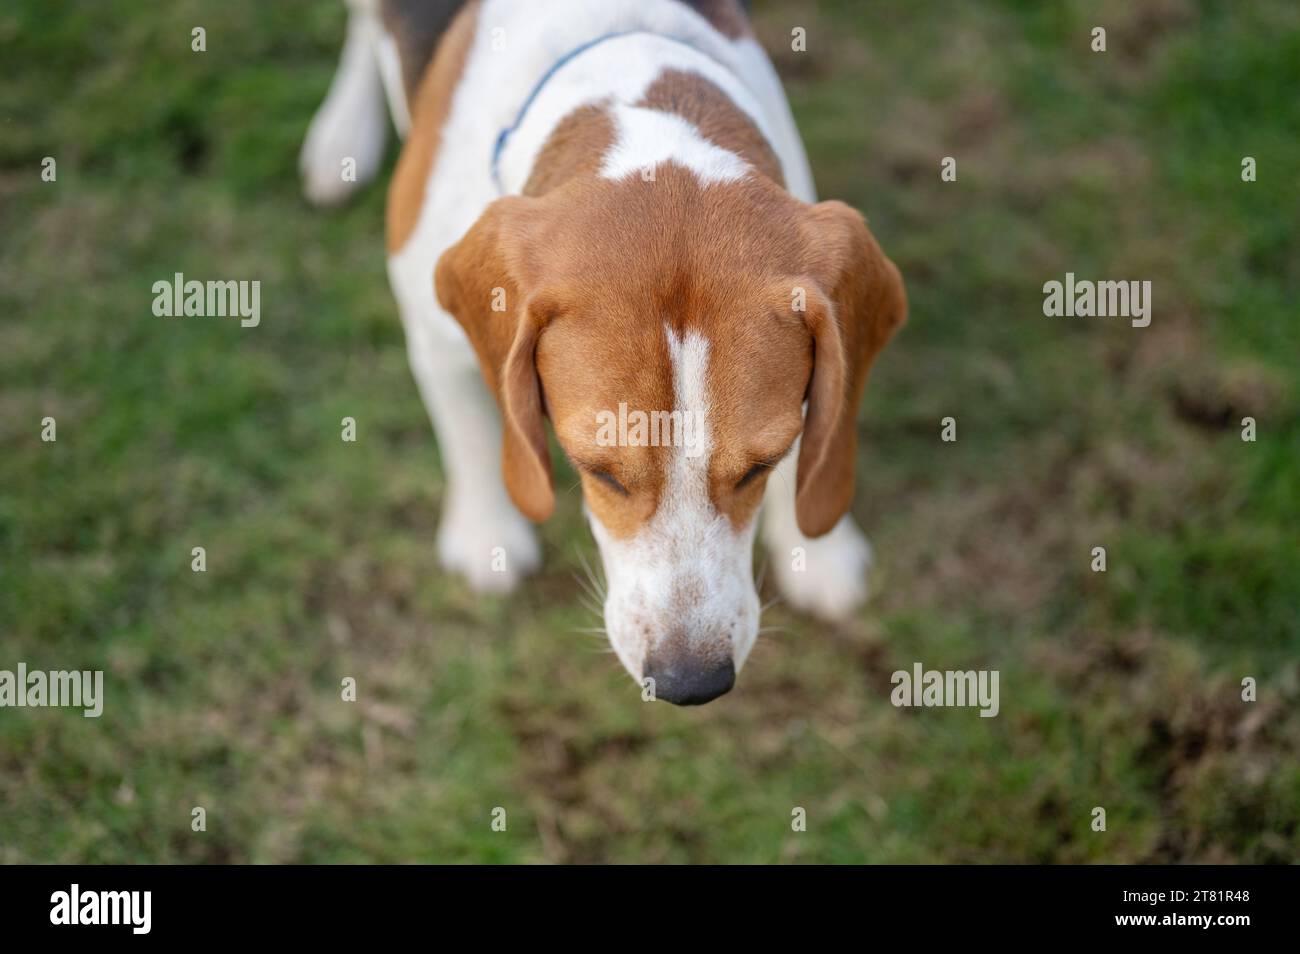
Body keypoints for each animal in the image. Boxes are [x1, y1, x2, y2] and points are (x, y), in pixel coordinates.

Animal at [299, 0, 909, 701]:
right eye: (598, 471)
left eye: (761, 466)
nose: (690, 683)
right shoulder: (435, 336)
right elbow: (471, 437)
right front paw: (487, 537)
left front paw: (820, 552)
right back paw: (343, 134)